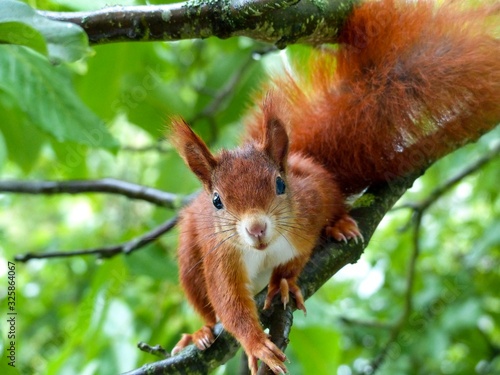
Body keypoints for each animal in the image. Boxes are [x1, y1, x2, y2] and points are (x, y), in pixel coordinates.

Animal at [169, 0, 500, 374]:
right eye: (217, 201)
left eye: (280, 184)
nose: (256, 228)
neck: (265, 251)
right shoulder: (221, 258)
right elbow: (229, 305)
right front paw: (255, 344)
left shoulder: (305, 218)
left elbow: (298, 257)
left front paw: (285, 280)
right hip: (190, 258)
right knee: (205, 304)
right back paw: (199, 334)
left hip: (319, 186)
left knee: (334, 202)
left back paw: (339, 224)